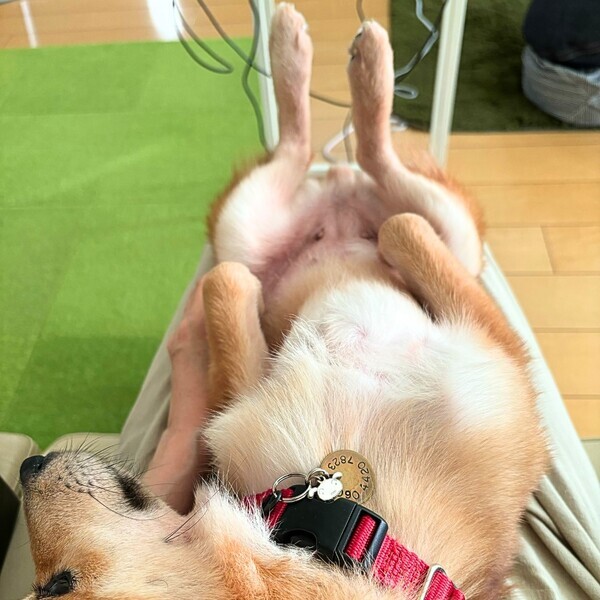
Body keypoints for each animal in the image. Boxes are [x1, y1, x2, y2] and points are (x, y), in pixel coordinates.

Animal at [19, 5, 548, 599]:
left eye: (55, 585)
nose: (28, 465)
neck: (355, 534)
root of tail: (334, 198)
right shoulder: (237, 402)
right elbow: (229, 285)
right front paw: (236, 297)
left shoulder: (493, 358)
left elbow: (399, 229)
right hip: (247, 225)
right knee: (307, 153)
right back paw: (303, 54)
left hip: (449, 229)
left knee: (371, 167)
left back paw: (344, 62)